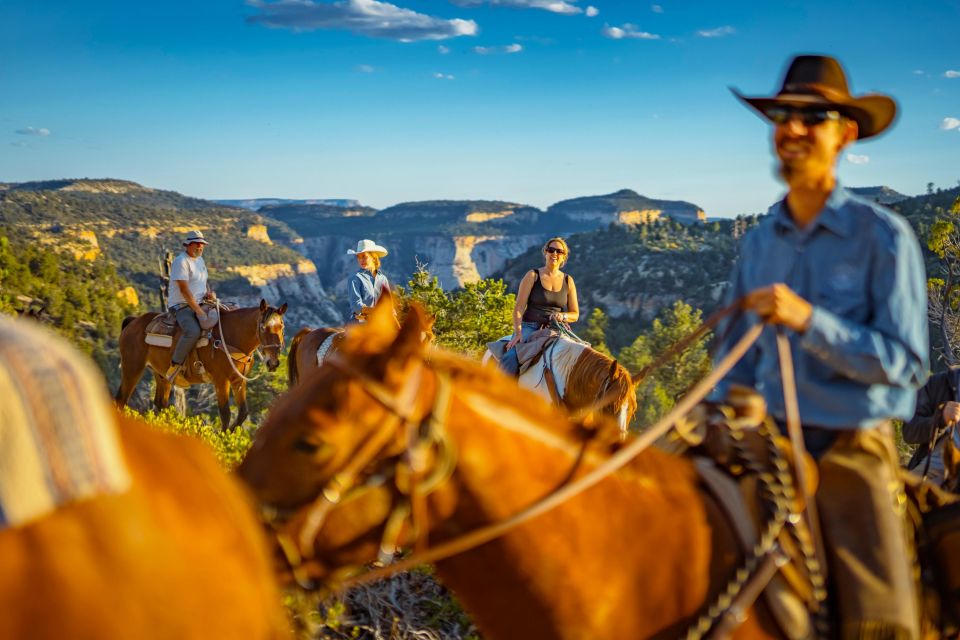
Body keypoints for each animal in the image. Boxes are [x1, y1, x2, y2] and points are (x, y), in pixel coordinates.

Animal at [0, 318, 288, 636]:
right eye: (266, 327)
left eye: (281, 327)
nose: (274, 361)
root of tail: (134, 321)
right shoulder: (222, 381)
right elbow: (226, 415)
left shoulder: (238, 383)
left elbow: (242, 414)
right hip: (133, 367)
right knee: (121, 401)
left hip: (161, 375)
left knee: (159, 404)